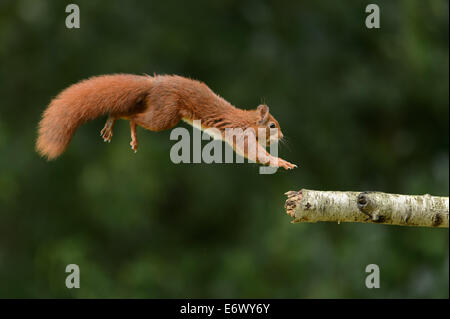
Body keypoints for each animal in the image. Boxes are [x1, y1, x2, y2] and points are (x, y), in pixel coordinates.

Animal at [35, 74, 296, 170]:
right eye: (273, 126)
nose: (283, 137)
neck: (249, 120)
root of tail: (155, 83)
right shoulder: (241, 134)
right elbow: (254, 153)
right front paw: (281, 161)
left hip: (157, 108)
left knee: (124, 111)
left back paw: (112, 124)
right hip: (164, 115)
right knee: (133, 117)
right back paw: (125, 130)